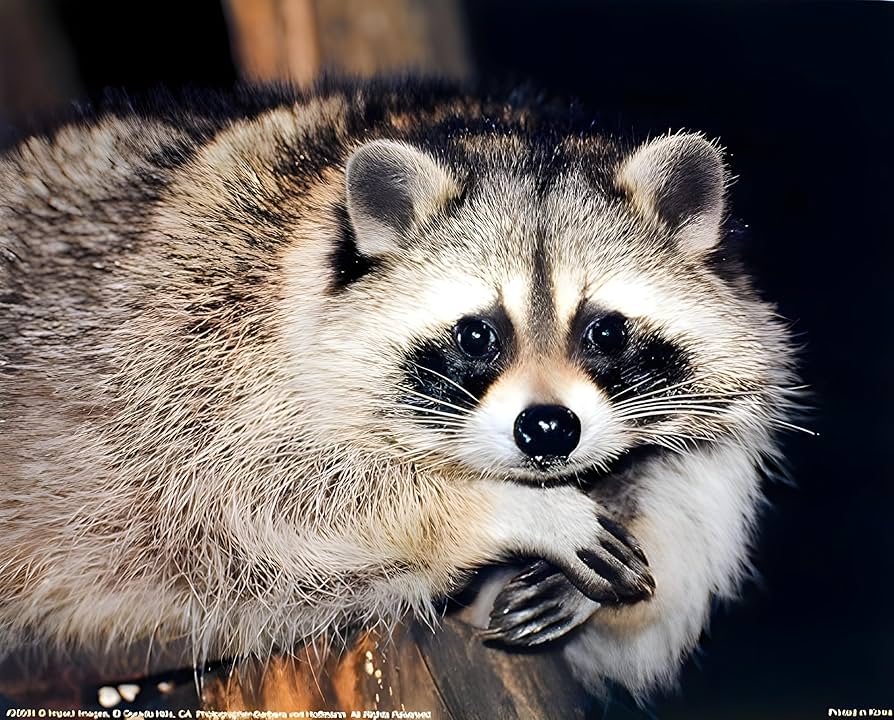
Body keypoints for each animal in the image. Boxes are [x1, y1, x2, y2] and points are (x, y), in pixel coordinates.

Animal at [0, 80, 798, 698]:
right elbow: (258, 506)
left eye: (604, 331)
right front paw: (507, 510)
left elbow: (693, 495)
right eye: (477, 335)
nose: (548, 430)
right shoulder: (201, 362)